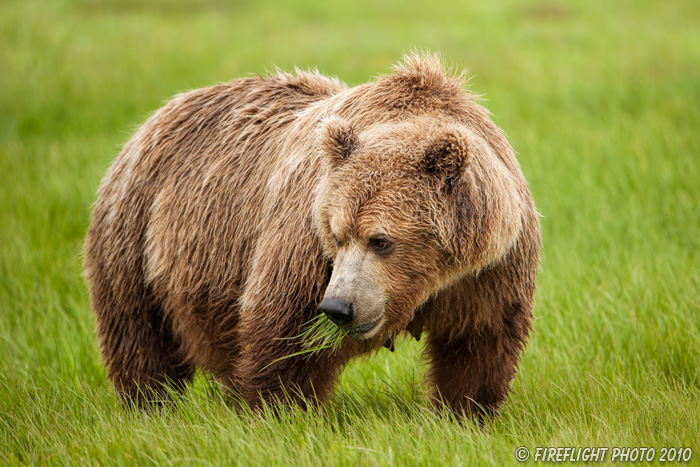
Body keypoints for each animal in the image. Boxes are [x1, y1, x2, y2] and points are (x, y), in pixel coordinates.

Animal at [83, 53, 540, 418]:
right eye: (336, 237)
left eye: (380, 240)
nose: (339, 307)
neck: (429, 283)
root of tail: (155, 116)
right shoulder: (304, 245)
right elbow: (284, 331)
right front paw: (281, 409)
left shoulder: (489, 271)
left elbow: (478, 345)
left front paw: (466, 412)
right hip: (138, 233)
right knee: (141, 336)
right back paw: (149, 402)